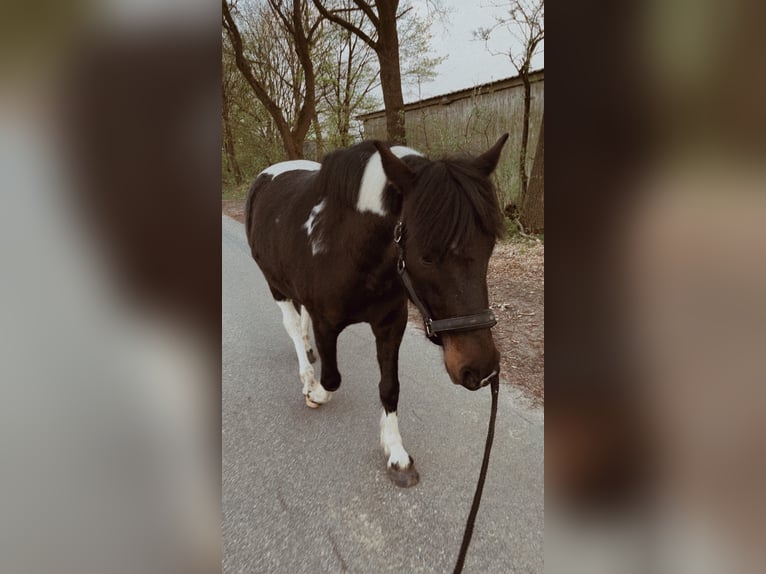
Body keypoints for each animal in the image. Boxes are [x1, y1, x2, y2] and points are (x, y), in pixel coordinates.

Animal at [245, 135, 508, 487]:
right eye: (426, 257)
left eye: (489, 247)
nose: (481, 369)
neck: (346, 248)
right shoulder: (326, 323)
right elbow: (332, 379)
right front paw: (314, 391)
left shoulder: (390, 325)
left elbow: (390, 387)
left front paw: (396, 453)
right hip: (275, 284)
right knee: (291, 326)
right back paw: (306, 372)